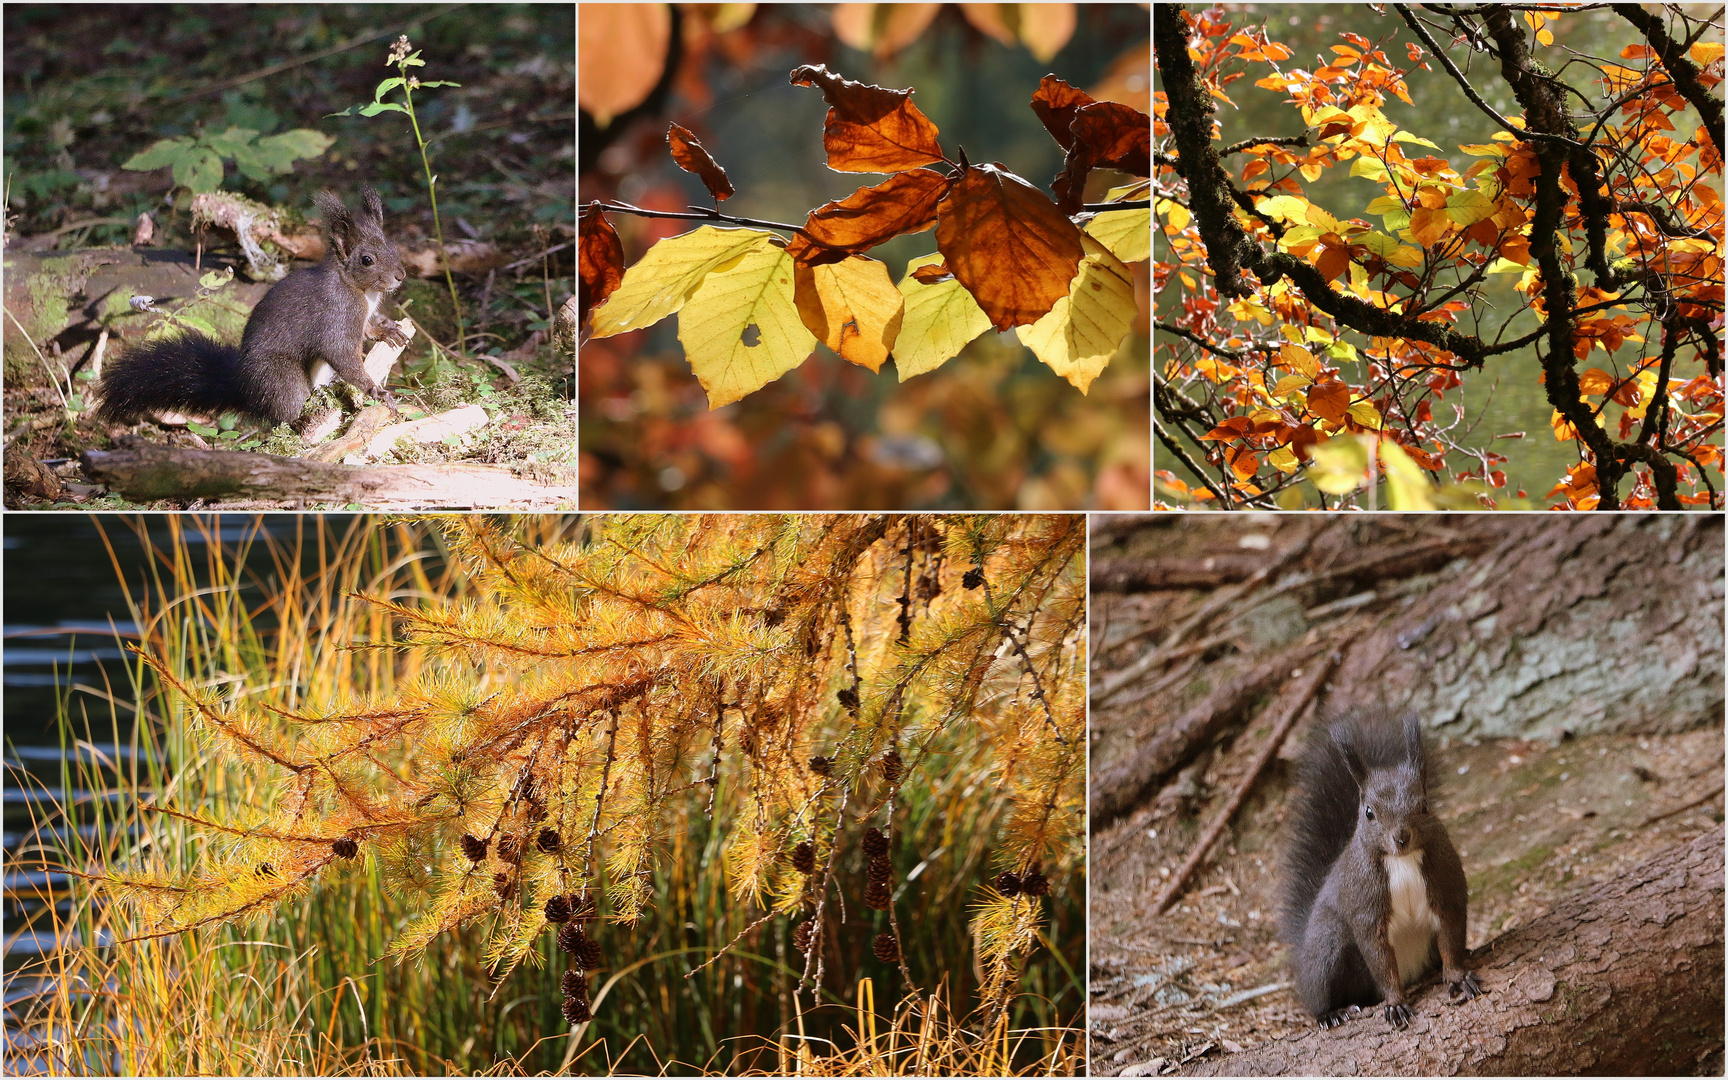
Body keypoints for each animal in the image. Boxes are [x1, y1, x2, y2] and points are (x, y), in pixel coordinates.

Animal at [100, 184, 407, 425]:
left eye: (393, 246)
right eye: (367, 260)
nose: (401, 275)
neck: (362, 291)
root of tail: (246, 392)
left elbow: (368, 329)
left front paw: (387, 330)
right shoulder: (337, 314)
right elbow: (341, 354)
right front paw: (376, 391)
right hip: (280, 376)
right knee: (284, 407)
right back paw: (299, 420)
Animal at [1271, 708, 1486, 1029]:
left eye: (1424, 805)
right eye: (1369, 812)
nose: (1401, 837)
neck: (1402, 861)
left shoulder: (1445, 885)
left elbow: (1451, 937)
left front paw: (1458, 977)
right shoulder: (1366, 906)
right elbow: (1380, 959)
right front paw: (1395, 1002)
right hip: (1327, 946)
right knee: (1318, 995)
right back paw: (1331, 1013)